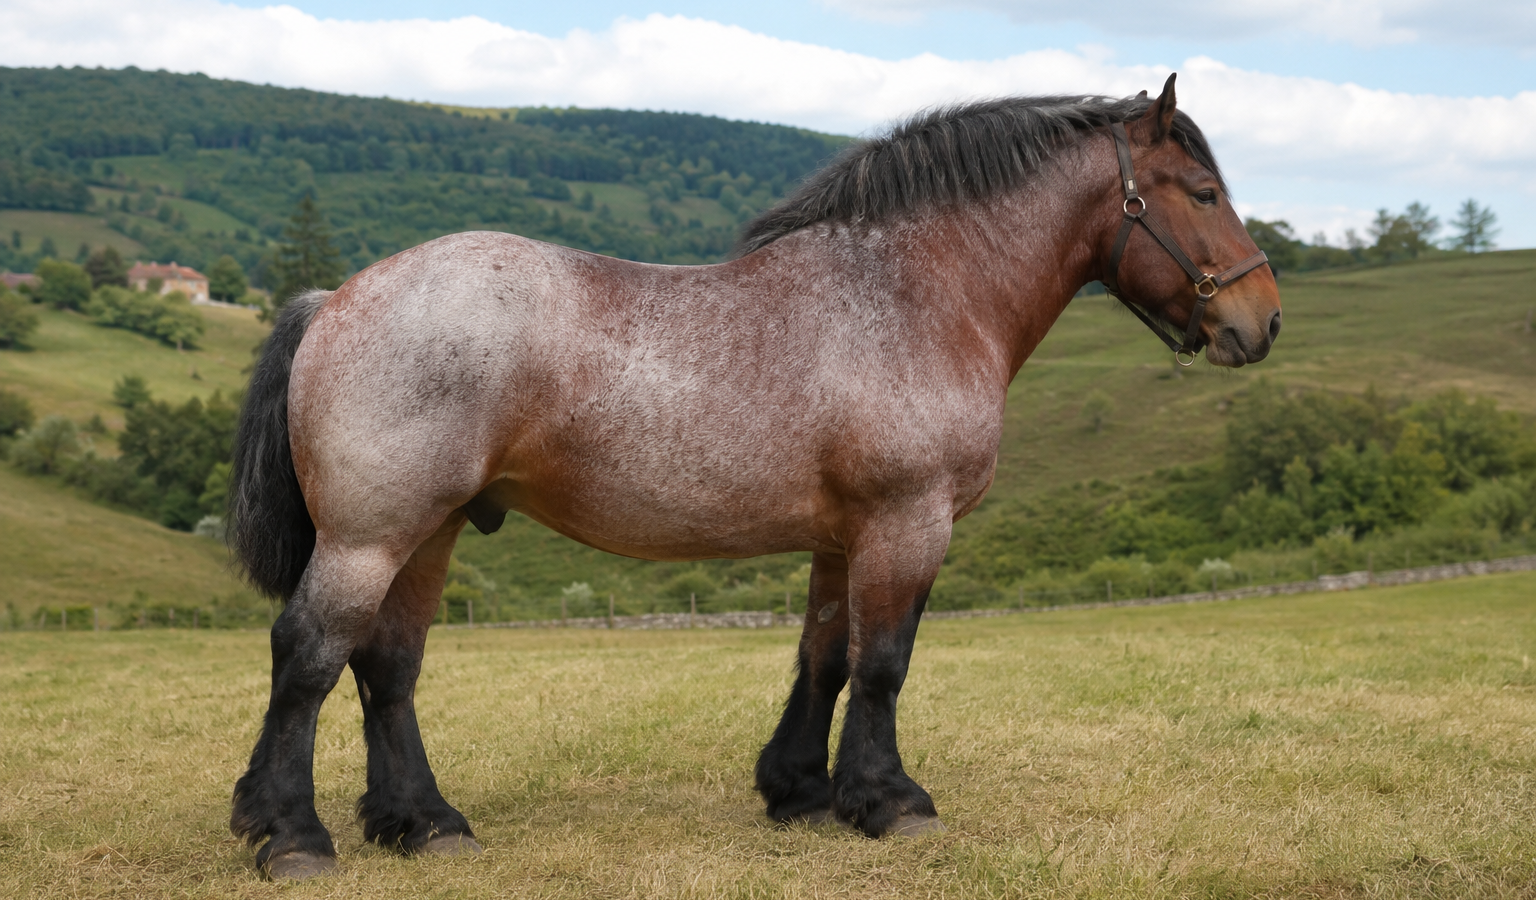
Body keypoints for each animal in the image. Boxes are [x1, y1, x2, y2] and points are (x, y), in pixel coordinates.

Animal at [226, 74, 1281, 879]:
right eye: (1200, 190)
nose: (1262, 320)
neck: (912, 294)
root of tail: (335, 299)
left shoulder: (842, 537)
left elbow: (824, 657)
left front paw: (802, 791)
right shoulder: (909, 522)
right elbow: (883, 662)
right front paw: (890, 801)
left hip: (431, 532)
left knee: (387, 667)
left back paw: (423, 822)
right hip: (371, 536)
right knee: (308, 655)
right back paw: (293, 835)